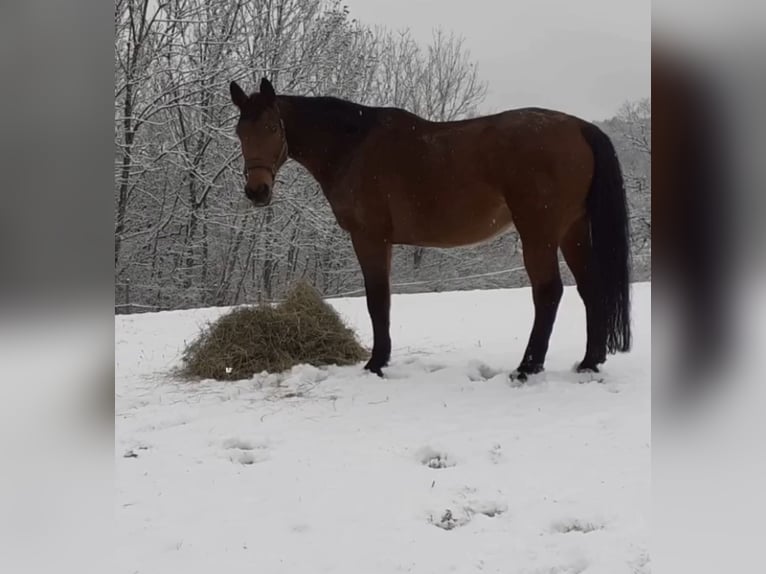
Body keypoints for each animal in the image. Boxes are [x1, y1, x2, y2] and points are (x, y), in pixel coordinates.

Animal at [231, 77, 632, 382]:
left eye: (272, 127)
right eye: (239, 132)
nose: (256, 191)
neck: (353, 145)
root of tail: (578, 127)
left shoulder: (369, 237)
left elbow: (377, 300)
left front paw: (376, 363)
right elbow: (383, 300)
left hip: (539, 233)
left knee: (548, 292)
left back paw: (527, 367)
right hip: (571, 231)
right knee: (590, 288)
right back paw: (589, 362)